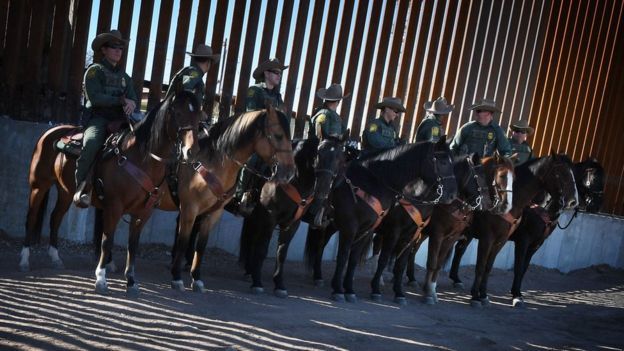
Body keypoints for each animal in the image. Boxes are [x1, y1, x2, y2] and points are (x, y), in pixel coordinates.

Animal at [20, 90, 202, 294]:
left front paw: (131, 281)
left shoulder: (144, 212)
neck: (141, 158)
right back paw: (25, 259)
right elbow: (106, 241)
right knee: (32, 218)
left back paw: (55, 257)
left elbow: (133, 245)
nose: (192, 151)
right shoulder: (114, 207)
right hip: (39, 186)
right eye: (177, 113)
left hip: (65, 192)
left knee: (55, 218)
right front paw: (101, 278)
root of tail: (51, 132)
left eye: (199, 116)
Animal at [239, 138, 346, 296]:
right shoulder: (269, 218)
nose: (322, 188)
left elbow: (282, 253)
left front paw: (279, 284)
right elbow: (262, 249)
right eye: (318, 154)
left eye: (340, 158)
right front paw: (257, 283)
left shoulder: (293, 224)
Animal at [304, 139, 456, 304]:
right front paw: (369, 289)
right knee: (321, 245)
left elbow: (397, 263)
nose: (452, 195)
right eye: (442, 162)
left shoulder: (407, 234)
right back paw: (318, 276)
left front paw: (398, 293)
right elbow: (373, 259)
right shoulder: (378, 230)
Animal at [370, 154, 492, 306]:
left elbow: (438, 264)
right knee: (378, 244)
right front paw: (428, 294)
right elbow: (432, 262)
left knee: (411, 252)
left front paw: (431, 290)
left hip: (420, 234)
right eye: (480, 176)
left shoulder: (450, 238)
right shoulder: (437, 235)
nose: (490, 203)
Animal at [450, 153, 576, 308]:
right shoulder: (504, 239)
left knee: (459, 249)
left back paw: (456, 279)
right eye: (560, 173)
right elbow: (485, 266)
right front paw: (476, 296)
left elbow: (497, 267)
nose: (573, 201)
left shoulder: (520, 242)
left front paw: (485, 295)